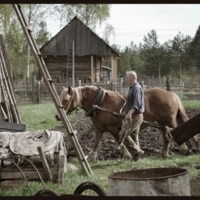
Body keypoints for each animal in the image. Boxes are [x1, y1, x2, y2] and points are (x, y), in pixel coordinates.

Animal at [54, 85, 200, 162]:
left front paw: (127, 155)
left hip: (169, 120)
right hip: (161, 122)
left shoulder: (113, 128)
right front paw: (92, 157)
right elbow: (96, 143)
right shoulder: (99, 129)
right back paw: (164, 153)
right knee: (167, 136)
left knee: (178, 132)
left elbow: (120, 141)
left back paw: (184, 149)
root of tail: (172, 94)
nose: (57, 115)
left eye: (66, 99)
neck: (100, 103)